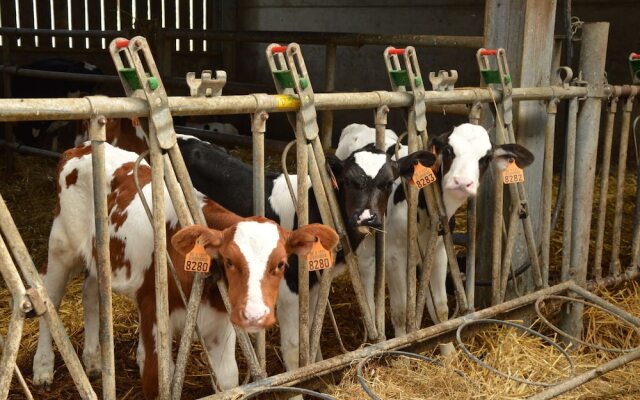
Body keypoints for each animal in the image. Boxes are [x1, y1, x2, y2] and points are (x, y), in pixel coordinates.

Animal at [33, 142, 340, 398]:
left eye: (281, 263)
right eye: (229, 261)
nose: (255, 314)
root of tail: (80, 148)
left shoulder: (220, 325)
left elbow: (228, 381)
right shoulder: (154, 314)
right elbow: (157, 380)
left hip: (100, 260)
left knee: (89, 293)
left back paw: (94, 360)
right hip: (61, 247)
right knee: (51, 299)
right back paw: (43, 368)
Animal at [178, 134, 432, 368]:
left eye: (388, 183)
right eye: (348, 181)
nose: (366, 217)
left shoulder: (316, 281)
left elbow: (311, 333)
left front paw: (316, 364)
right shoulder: (290, 286)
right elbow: (293, 345)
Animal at [336, 123, 536, 336]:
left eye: (486, 158)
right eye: (448, 150)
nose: (462, 182)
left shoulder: (439, 250)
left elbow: (440, 307)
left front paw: (445, 341)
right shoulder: (393, 255)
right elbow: (400, 312)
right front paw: (403, 343)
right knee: (366, 270)